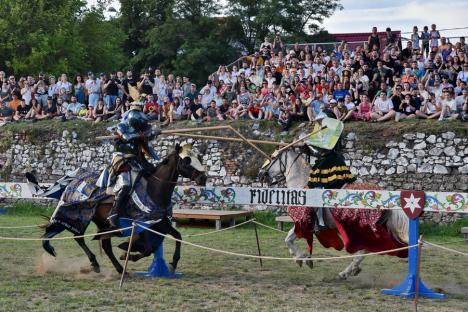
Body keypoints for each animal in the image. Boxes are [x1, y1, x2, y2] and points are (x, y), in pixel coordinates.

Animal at [34, 143, 207, 274]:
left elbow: (176, 237)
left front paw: (173, 263)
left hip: (102, 224)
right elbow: (147, 248)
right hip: (79, 214)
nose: (203, 178)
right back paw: (95, 263)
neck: (153, 190)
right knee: (79, 237)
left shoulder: (160, 223)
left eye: (198, 158)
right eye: (186, 161)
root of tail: (73, 181)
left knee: (104, 245)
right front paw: (127, 254)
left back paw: (117, 268)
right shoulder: (143, 226)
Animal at [258, 149, 408, 280]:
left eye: (272, 157)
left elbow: (288, 239)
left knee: (363, 251)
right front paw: (298, 257)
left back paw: (346, 272)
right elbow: (288, 239)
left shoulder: (302, 223)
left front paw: (302, 259)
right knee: (367, 250)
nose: (261, 174)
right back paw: (352, 270)